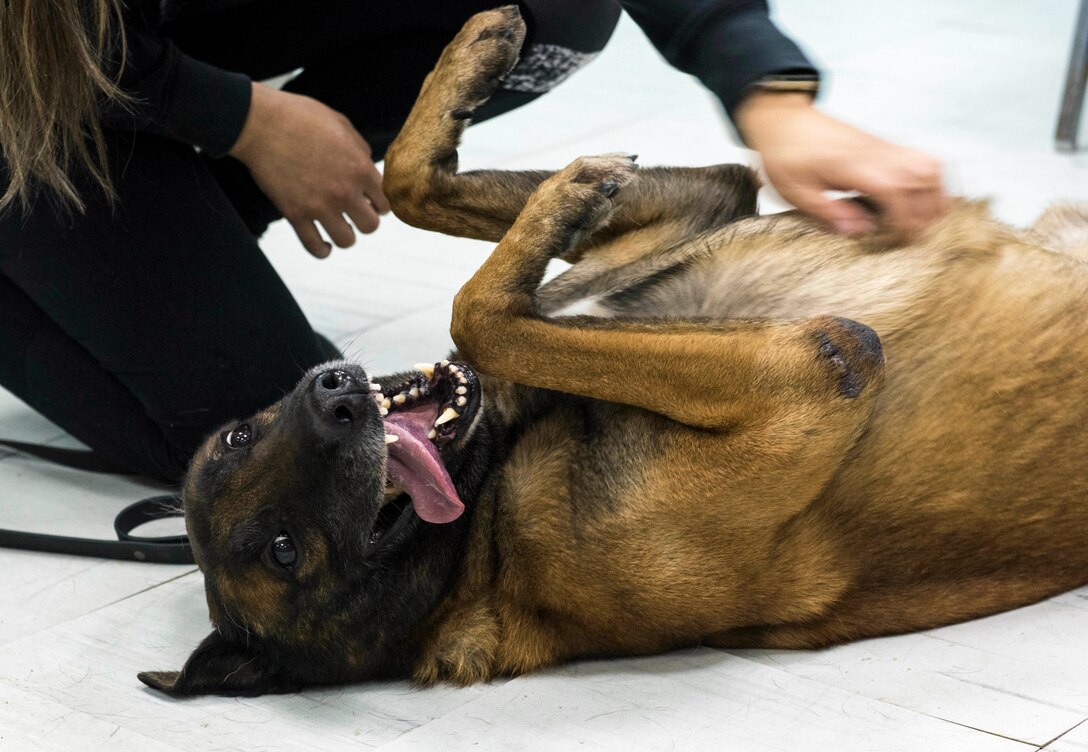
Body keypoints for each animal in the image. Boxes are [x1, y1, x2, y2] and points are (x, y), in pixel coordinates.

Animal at [140, 8, 1088, 696]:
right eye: (283, 551)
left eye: (235, 437)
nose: (335, 396)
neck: (489, 518)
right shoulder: (806, 379)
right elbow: (480, 311)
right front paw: (562, 192)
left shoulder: (703, 212)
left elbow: (407, 185)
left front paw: (475, 61)